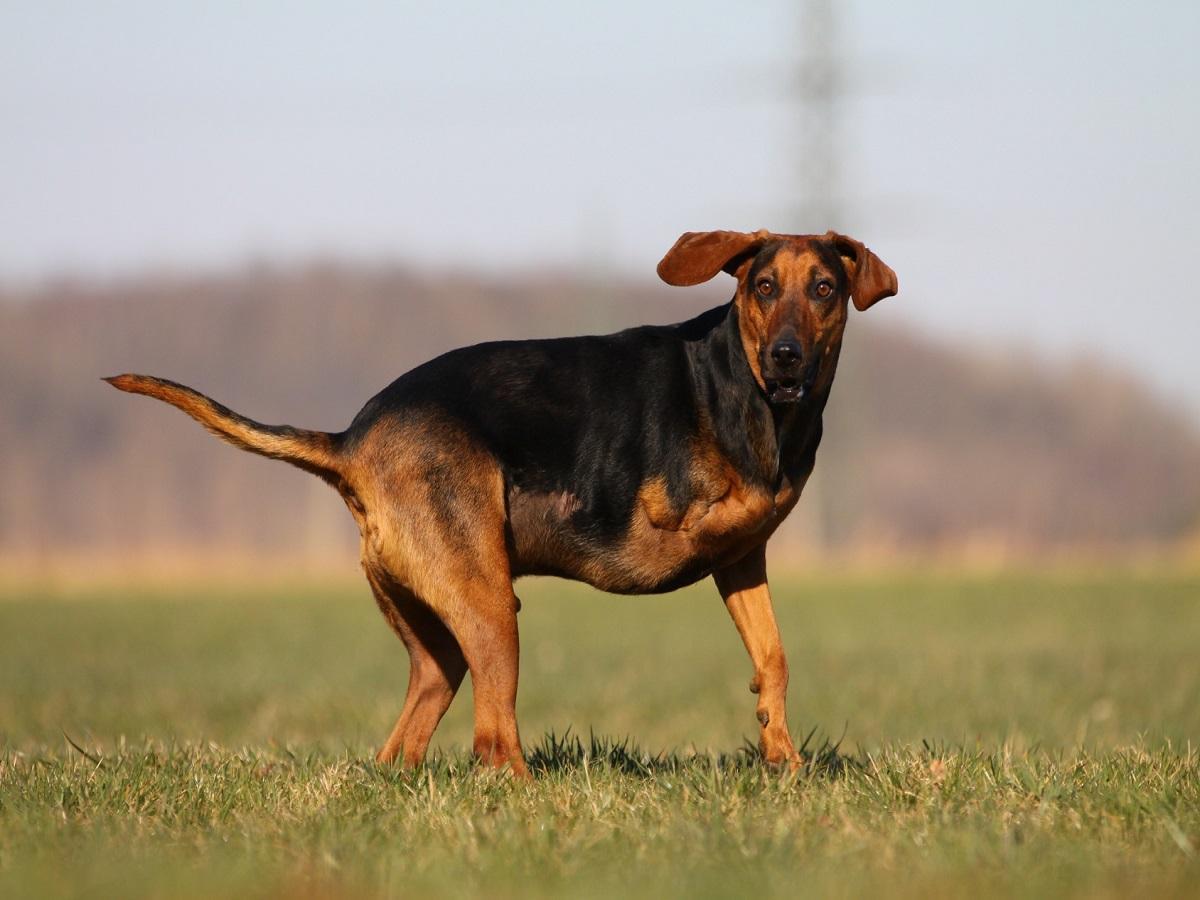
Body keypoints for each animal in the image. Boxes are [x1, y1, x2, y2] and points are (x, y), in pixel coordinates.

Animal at [108, 229, 897, 777]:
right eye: (762, 285)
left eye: (824, 289)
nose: (787, 357)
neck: (750, 394)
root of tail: (351, 440)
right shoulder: (688, 526)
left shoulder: (742, 560)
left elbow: (774, 656)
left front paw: (782, 755)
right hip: (491, 606)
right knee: (492, 739)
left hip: (439, 638)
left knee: (407, 743)